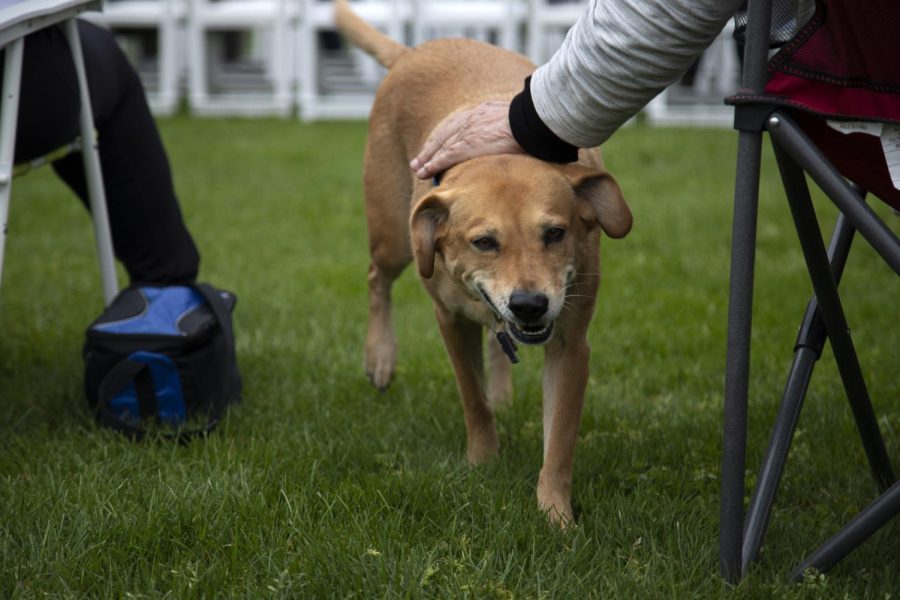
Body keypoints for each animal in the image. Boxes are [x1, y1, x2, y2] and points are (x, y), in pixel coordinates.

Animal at [334, 0, 628, 524]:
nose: (530, 304)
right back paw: (380, 356)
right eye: (484, 242)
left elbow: (560, 441)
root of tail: (413, 51)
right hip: (393, 237)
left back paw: (504, 391)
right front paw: (483, 461)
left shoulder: (571, 344)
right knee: (376, 278)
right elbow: (473, 397)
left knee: (497, 339)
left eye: (556, 233)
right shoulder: (449, 319)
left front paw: (555, 515)